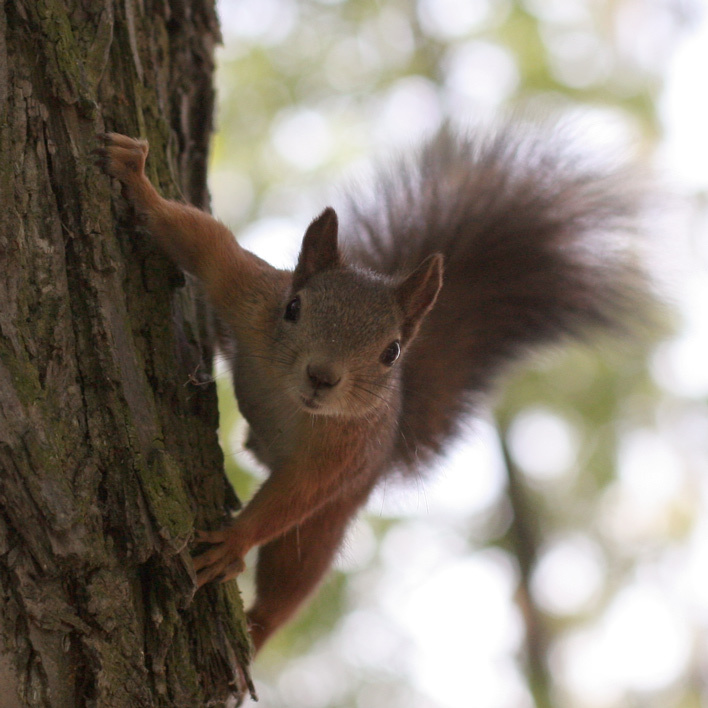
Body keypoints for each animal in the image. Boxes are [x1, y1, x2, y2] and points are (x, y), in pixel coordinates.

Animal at [96, 116, 647, 654]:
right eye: (292, 308)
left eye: (392, 352)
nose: (322, 377)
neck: (290, 399)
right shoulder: (247, 294)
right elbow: (200, 239)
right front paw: (137, 179)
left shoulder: (344, 450)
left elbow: (299, 491)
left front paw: (235, 540)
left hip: (342, 504)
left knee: (295, 569)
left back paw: (256, 630)